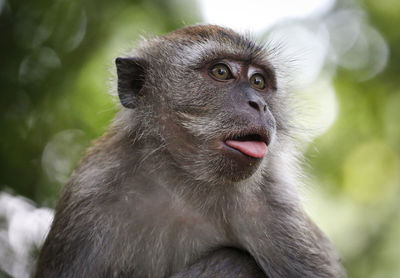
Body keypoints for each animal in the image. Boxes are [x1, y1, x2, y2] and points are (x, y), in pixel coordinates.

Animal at [34, 25, 346, 276]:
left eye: (258, 81)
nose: (259, 104)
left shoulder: (277, 209)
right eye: (221, 71)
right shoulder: (87, 197)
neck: (183, 181)